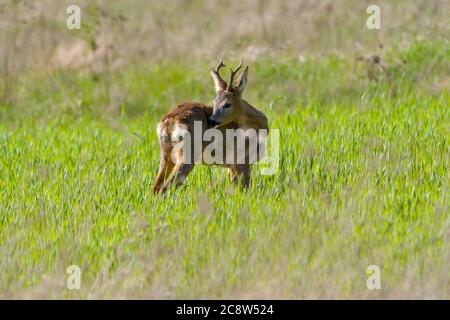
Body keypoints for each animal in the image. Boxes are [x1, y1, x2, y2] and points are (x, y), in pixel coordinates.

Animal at [153, 60, 268, 195]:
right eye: (214, 103)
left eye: (227, 104)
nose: (211, 121)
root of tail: (169, 120)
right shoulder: (241, 160)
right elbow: (244, 190)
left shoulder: (231, 166)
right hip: (188, 152)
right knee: (166, 187)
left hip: (165, 153)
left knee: (155, 187)